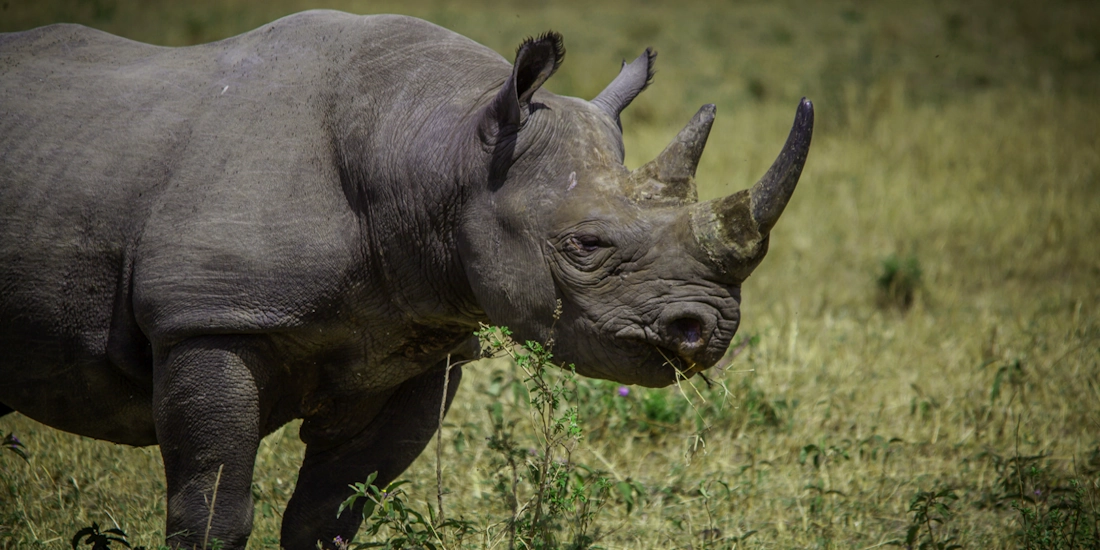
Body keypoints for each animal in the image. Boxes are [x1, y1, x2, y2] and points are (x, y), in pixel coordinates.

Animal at [0, 10, 812, 549]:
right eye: (584, 245)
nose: (710, 330)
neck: (444, 147)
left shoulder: (424, 337)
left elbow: (331, 511)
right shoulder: (207, 319)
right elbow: (212, 506)